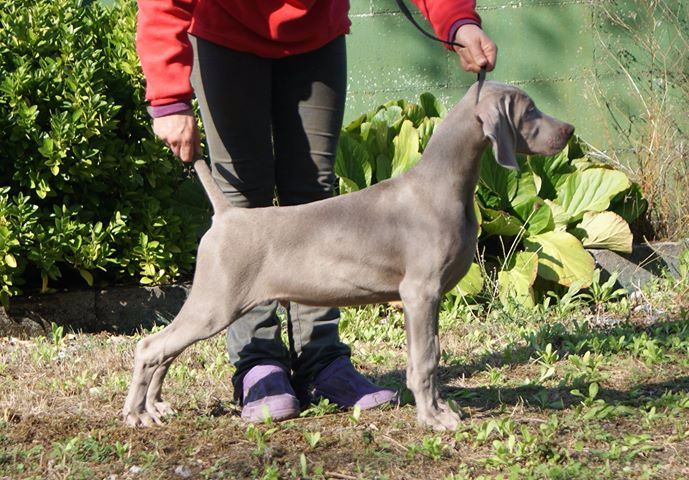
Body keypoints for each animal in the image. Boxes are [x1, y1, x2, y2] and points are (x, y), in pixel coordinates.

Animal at [123, 80, 576, 430]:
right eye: (530, 110)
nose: (570, 129)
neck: (444, 184)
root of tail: (227, 214)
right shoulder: (420, 293)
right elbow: (425, 360)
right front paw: (433, 418)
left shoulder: (426, 297)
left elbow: (431, 356)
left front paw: (440, 410)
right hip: (216, 302)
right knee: (149, 347)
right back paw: (136, 413)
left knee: (165, 351)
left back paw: (156, 406)